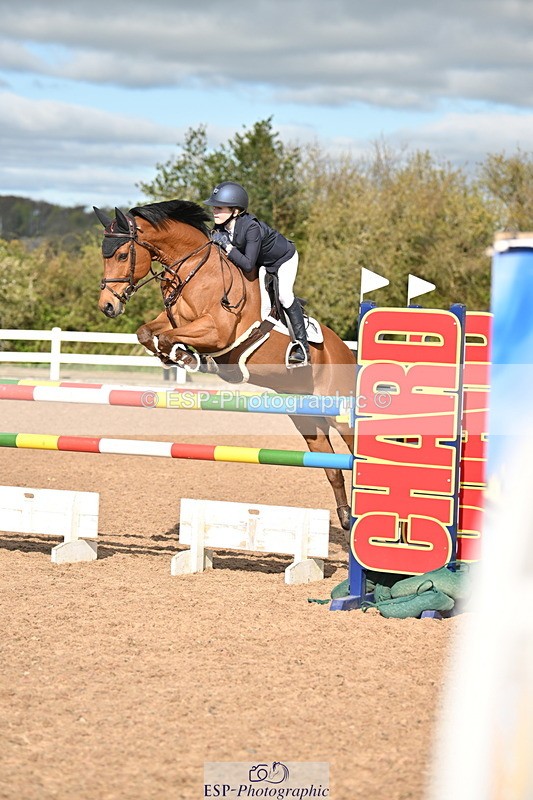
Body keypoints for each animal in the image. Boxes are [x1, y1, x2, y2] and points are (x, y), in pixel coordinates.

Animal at [94, 200, 357, 529]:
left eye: (121, 255)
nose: (107, 306)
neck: (195, 271)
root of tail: (347, 354)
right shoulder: (173, 319)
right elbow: (146, 332)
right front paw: (177, 356)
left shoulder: (216, 331)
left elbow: (169, 337)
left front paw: (187, 357)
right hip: (305, 417)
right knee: (332, 467)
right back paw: (346, 517)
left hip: (341, 413)